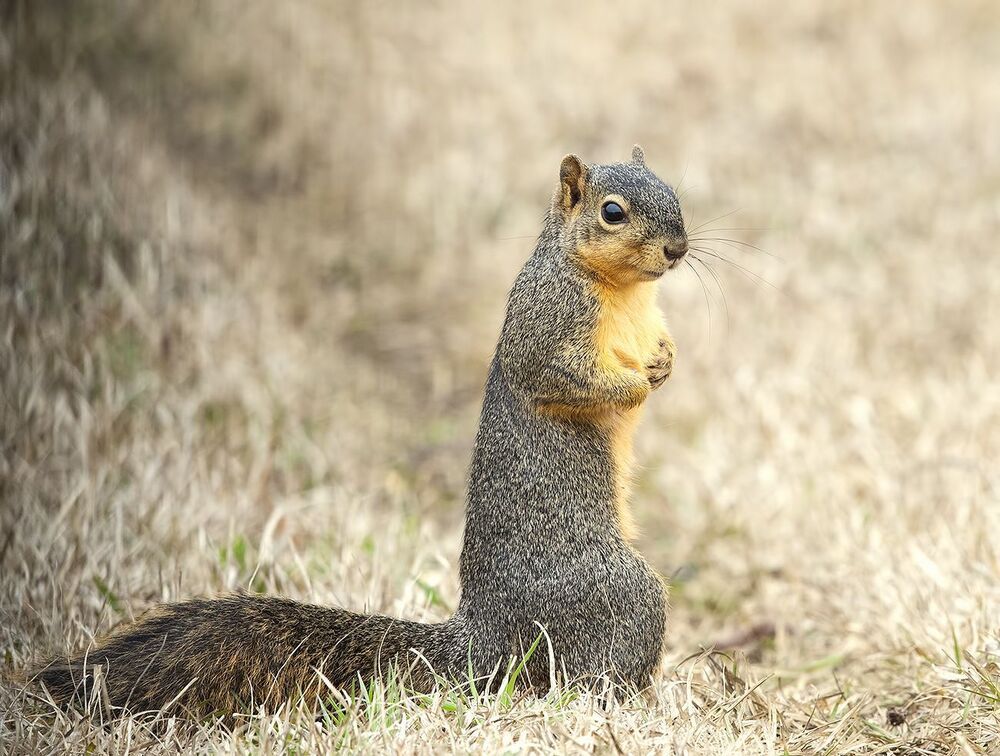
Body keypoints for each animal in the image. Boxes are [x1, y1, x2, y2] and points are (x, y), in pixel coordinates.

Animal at [35, 145, 688, 717]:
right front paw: (636, 384)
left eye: (673, 191)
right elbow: (564, 379)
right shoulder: (547, 325)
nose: (678, 248)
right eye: (612, 212)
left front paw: (664, 361)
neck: (625, 292)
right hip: (620, 594)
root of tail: (484, 639)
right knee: (585, 676)